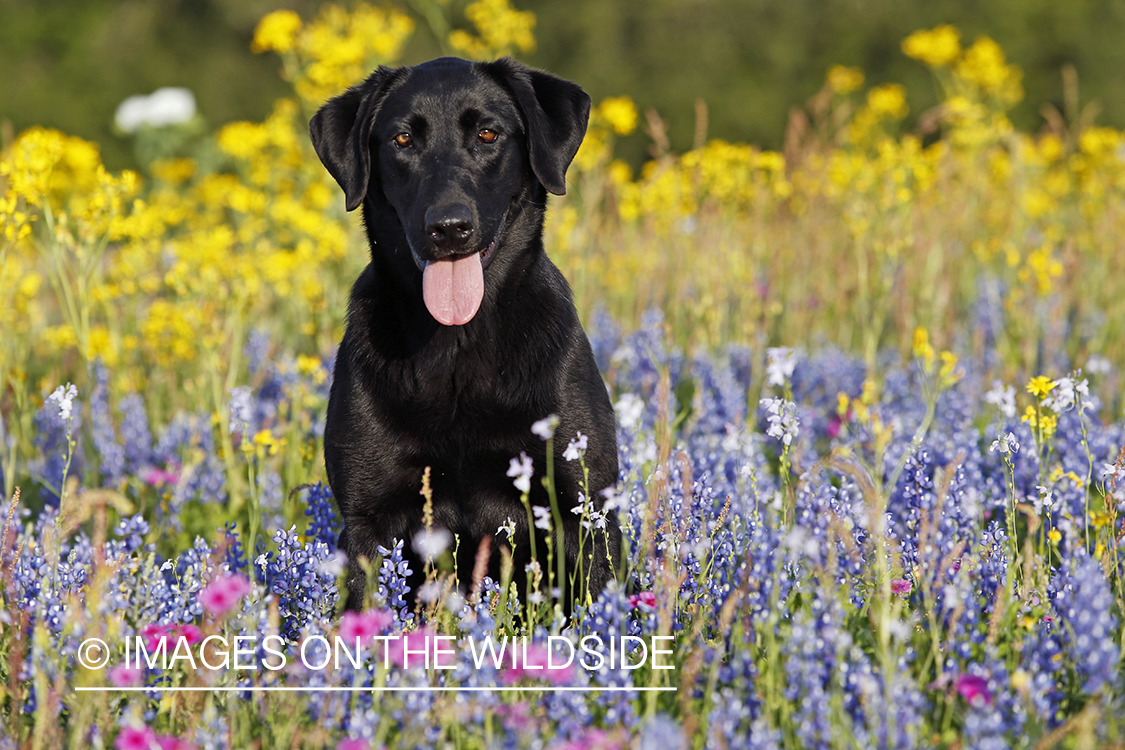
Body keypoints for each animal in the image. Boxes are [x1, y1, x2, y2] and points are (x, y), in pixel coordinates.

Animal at [312, 57, 621, 611]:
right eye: (403, 140)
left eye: (487, 134)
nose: (449, 227)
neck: (457, 348)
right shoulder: (369, 518)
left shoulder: (581, 511)